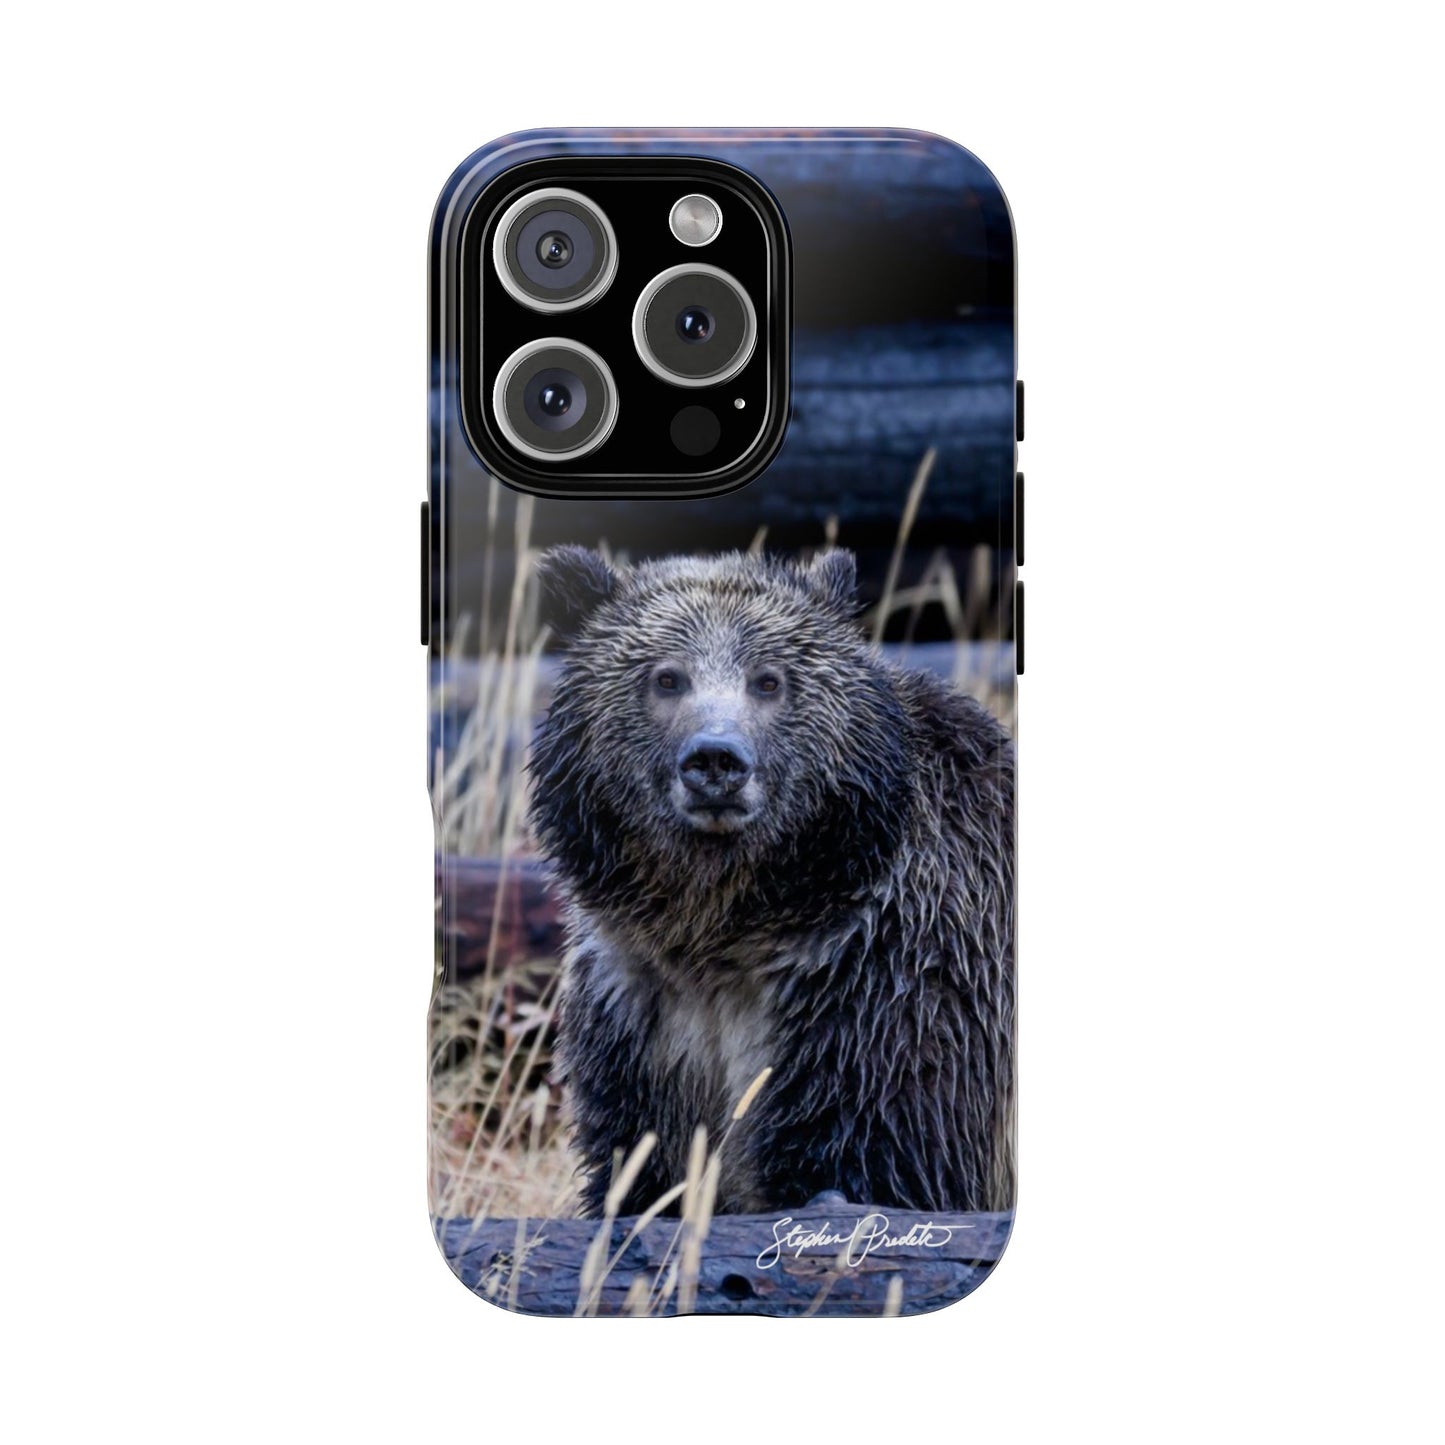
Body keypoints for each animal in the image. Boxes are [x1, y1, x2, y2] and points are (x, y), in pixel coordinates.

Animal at [528, 545, 1015, 1219]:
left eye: (768, 680)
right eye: (666, 677)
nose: (716, 761)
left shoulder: (888, 991)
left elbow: (878, 1158)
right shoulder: (640, 1011)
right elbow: (638, 1167)